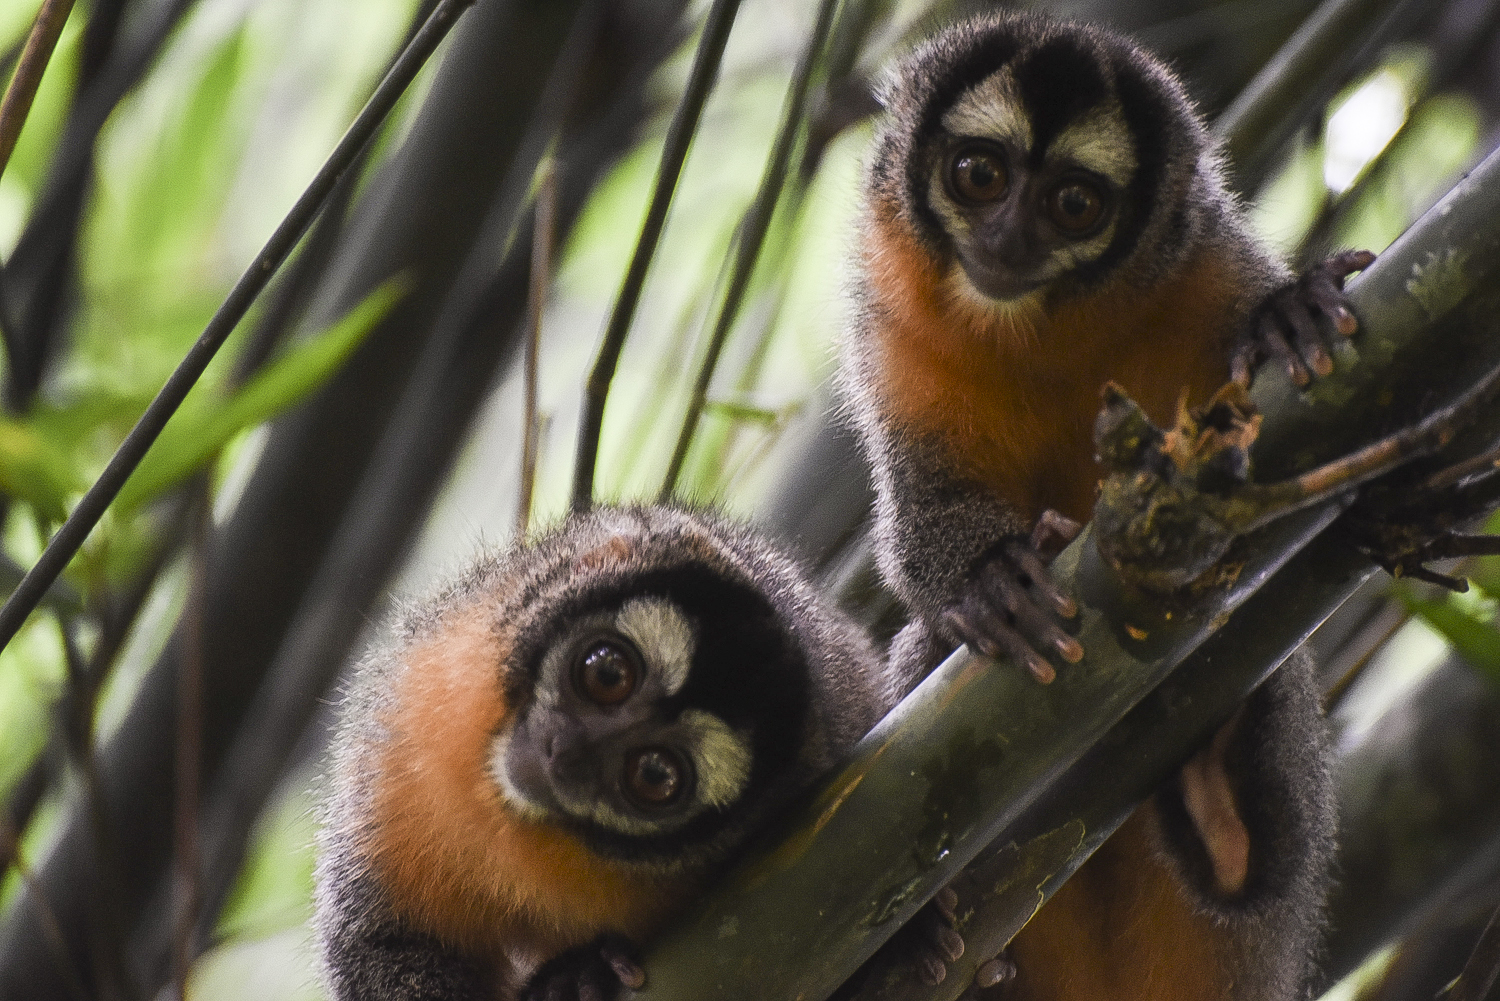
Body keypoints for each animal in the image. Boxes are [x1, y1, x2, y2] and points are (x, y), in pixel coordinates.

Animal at [313, 513, 960, 996]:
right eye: (608, 673)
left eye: (654, 775)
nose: (566, 753)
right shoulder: (404, 722)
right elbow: (382, 940)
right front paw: (573, 978)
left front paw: (579, 976)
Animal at [846, 9, 1350, 1001]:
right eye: (980, 176)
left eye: (1074, 203)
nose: (1008, 239)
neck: (1042, 328)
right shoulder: (886, 331)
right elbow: (917, 519)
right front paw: (991, 578)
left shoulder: (1205, 259)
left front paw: (1287, 314)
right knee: (927, 653)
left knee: (1265, 865)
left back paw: (1223, 795)